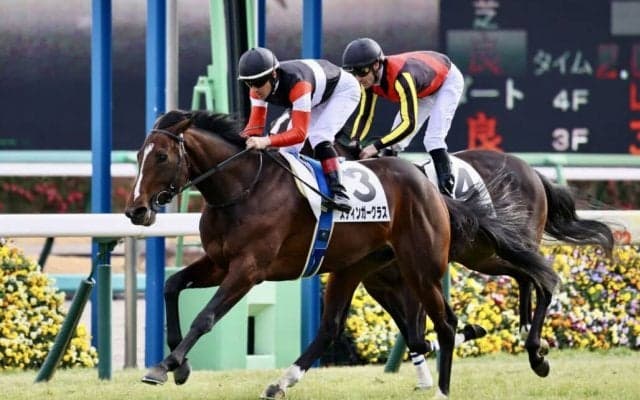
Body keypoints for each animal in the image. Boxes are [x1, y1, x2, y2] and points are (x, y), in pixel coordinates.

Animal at [124, 110, 557, 399]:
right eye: (138, 156)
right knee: (331, 327)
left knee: (450, 321)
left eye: (162, 156)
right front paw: (179, 364)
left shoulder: (249, 269)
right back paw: (281, 382)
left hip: (424, 264)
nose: (136, 210)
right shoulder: (218, 262)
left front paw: (165, 366)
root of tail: (431, 187)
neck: (242, 188)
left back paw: (447, 388)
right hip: (357, 267)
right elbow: (171, 285)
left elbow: (206, 316)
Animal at [332, 137, 615, 385]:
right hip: (482, 255)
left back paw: (536, 353)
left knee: (540, 280)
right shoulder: (379, 285)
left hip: (513, 245)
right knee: (525, 276)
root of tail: (530, 170)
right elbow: (413, 337)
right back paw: (528, 335)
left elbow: (421, 332)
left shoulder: (415, 278)